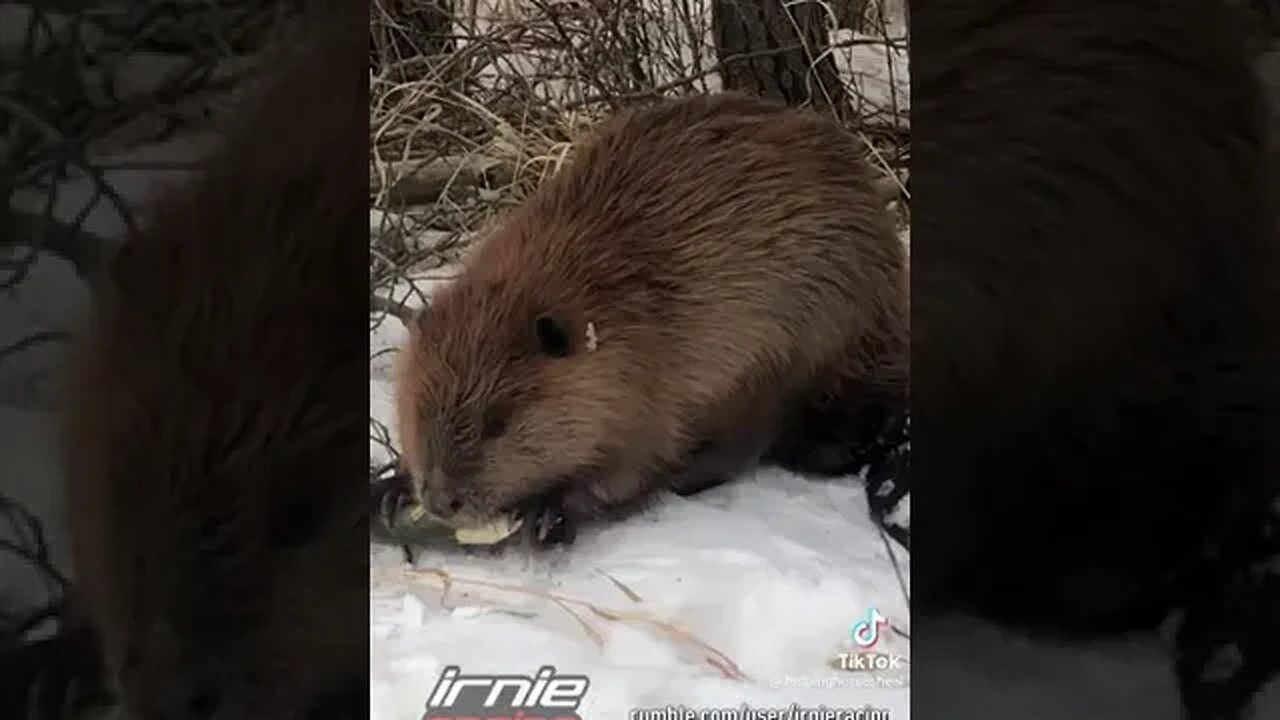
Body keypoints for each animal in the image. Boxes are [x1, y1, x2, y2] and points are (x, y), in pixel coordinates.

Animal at [394, 92, 906, 545]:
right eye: (420, 410)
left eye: (497, 424)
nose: (441, 502)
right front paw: (390, 487)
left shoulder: (651, 386)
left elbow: (630, 468)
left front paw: (549, 514)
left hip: (813, 346)